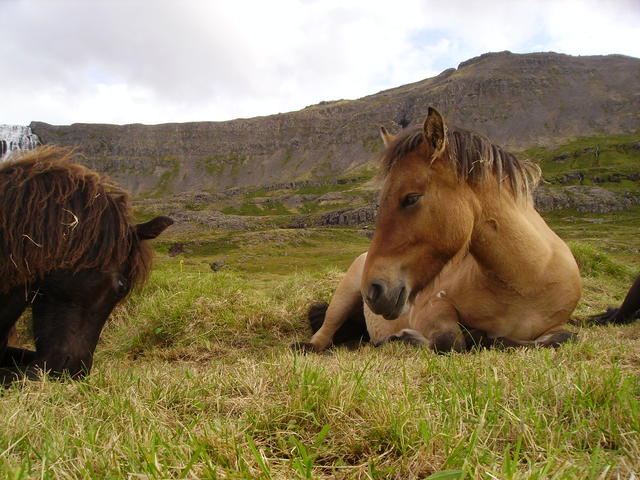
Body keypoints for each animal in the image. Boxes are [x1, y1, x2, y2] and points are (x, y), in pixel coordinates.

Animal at [298, 107, 584, 350]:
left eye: (411, 198)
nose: (373, 289)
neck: (526, 280)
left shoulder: (556, 325)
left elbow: (562, 338)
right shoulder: (432, 306)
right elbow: (450, 340)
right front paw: (407, 337)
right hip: (344, 296)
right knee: (323, 335)